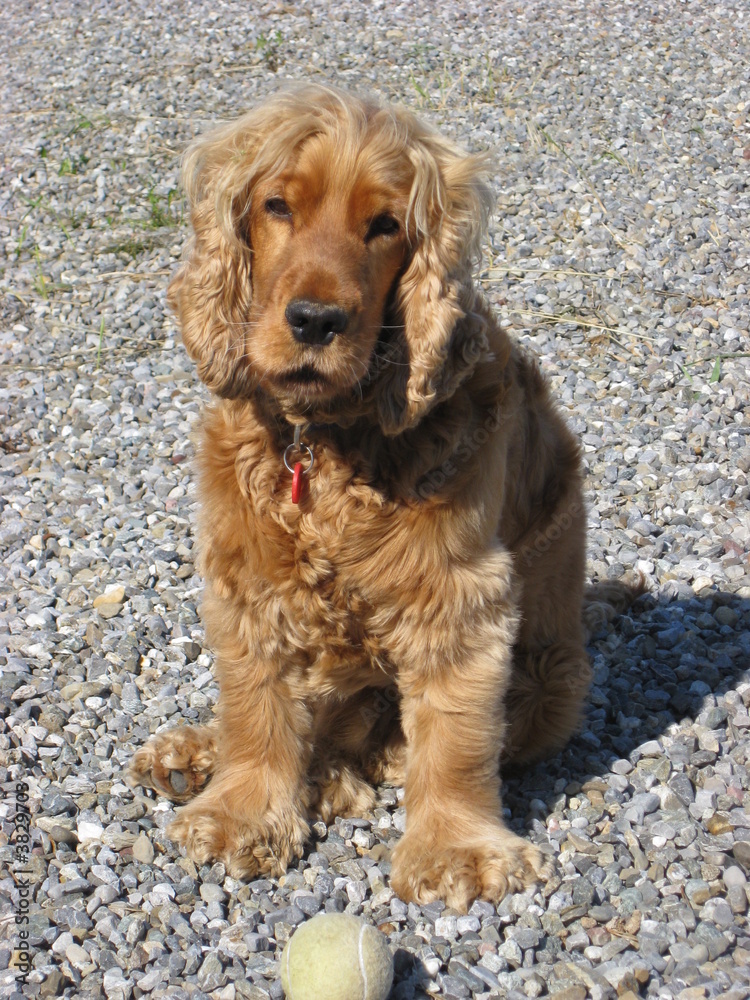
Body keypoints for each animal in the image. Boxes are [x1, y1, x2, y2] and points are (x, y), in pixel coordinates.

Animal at [131, 84, 592, 916]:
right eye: (278, 205)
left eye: (384, 225)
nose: (315, 321)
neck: (325, 443)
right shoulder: (251, 574)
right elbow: (255, 705)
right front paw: (240, 812)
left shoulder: (459, 594)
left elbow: (457, 734)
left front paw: (456, 850)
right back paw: (191, 756)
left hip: (552, 678)